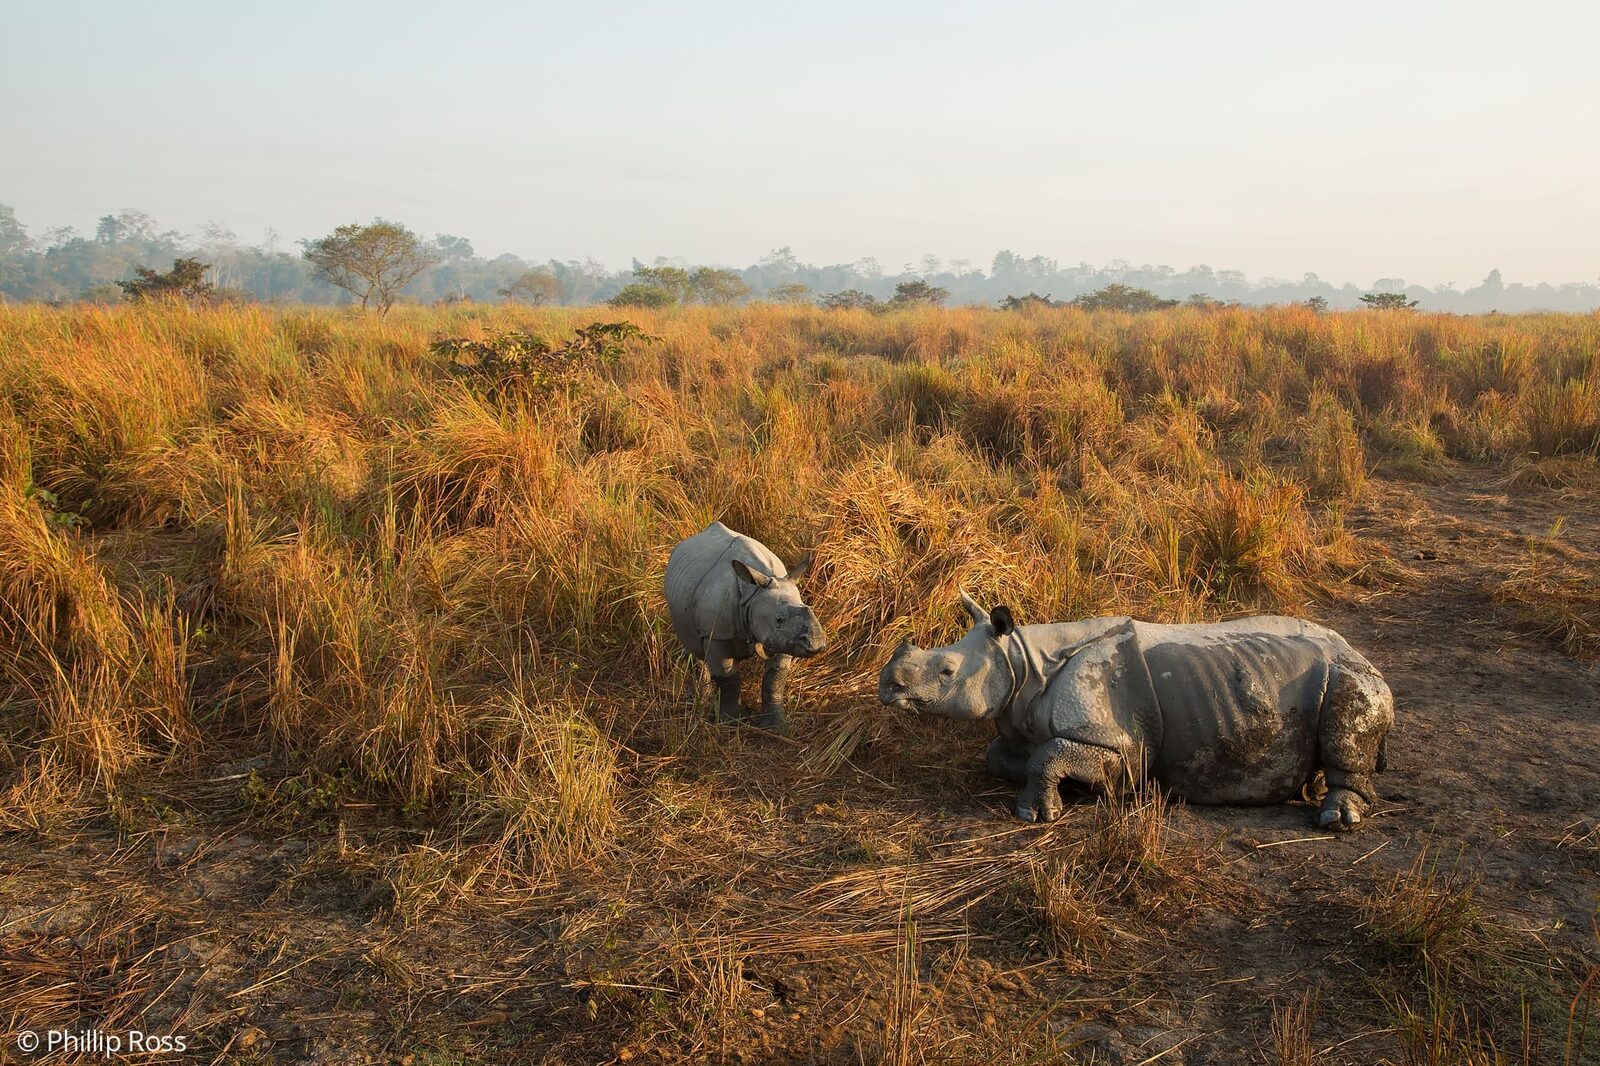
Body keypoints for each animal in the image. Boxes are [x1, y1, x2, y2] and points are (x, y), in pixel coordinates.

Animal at [665, 522, 828, 730]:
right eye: (779, 619)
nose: (817, 643)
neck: (752, 595)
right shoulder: (717, 633)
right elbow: (729, 677)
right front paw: (731, 722)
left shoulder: (786, 640)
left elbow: (775, 678)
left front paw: (774, 725)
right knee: (694, 646)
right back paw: (702, 698)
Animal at [878, 594, 1393, 830]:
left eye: (946, 671)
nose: (887, 686)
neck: (1021, 660)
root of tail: (1361, 654)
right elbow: (1005, 755)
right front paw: (1059, 788)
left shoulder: (1121, 745)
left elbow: (1053, 755)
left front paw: (1037, 813)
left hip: (1350, 674)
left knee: (1349, 715)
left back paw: (1337, 819)